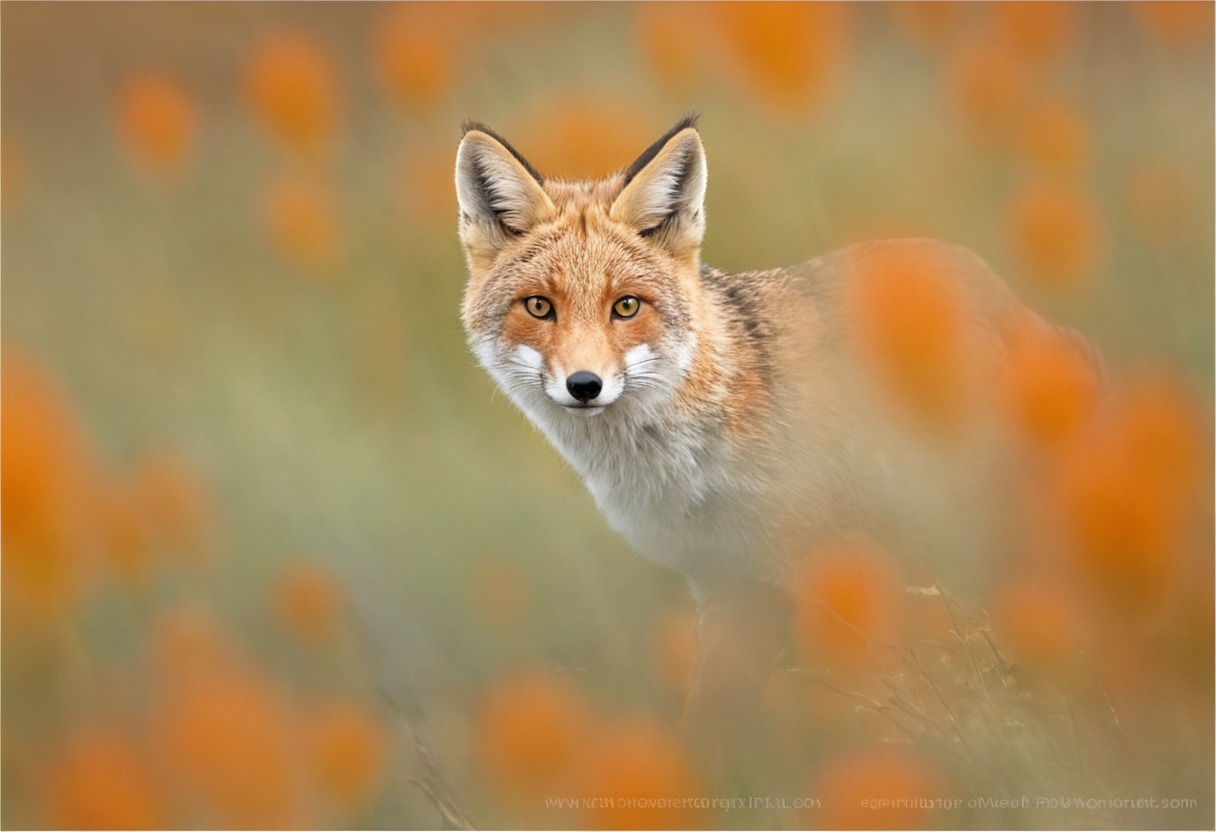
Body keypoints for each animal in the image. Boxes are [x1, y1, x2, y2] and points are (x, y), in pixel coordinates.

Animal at [457, 113, 1104, 768]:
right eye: (540, 307)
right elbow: (708, 732)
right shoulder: (729, 584)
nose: (584, 385)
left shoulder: (839, 574)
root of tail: (1002, 291)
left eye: (627, 306)